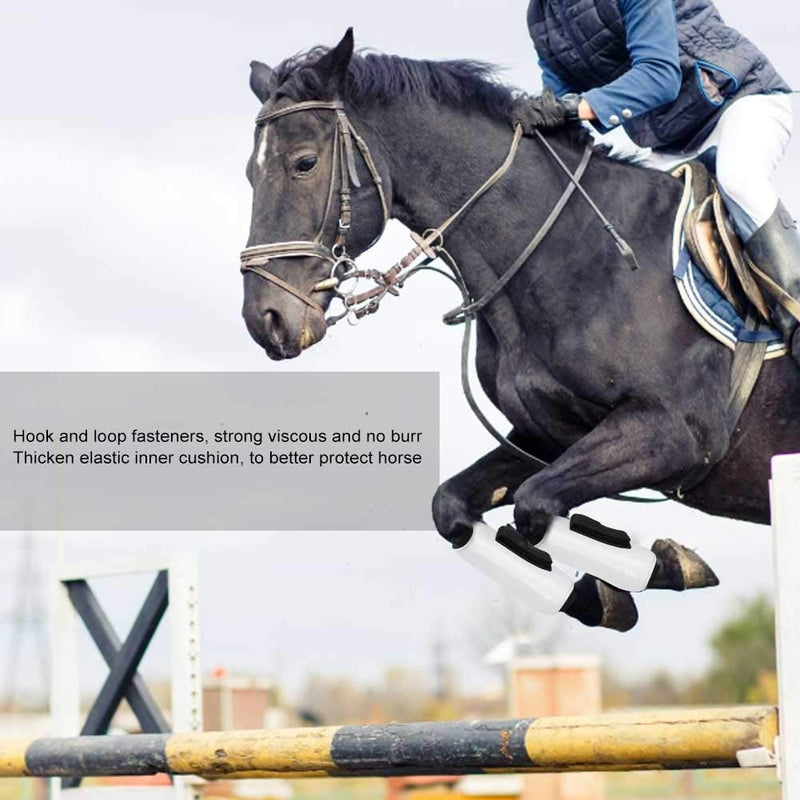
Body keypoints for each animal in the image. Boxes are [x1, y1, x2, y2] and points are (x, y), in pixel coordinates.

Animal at [239, 30, 800, 631]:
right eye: (251, 174)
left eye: (304, 163)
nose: (266, 320)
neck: (570, 253)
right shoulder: (545, 437)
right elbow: (459, 507)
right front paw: (607, 590)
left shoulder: (676, 432)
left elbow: (534, 505)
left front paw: (655, 566)